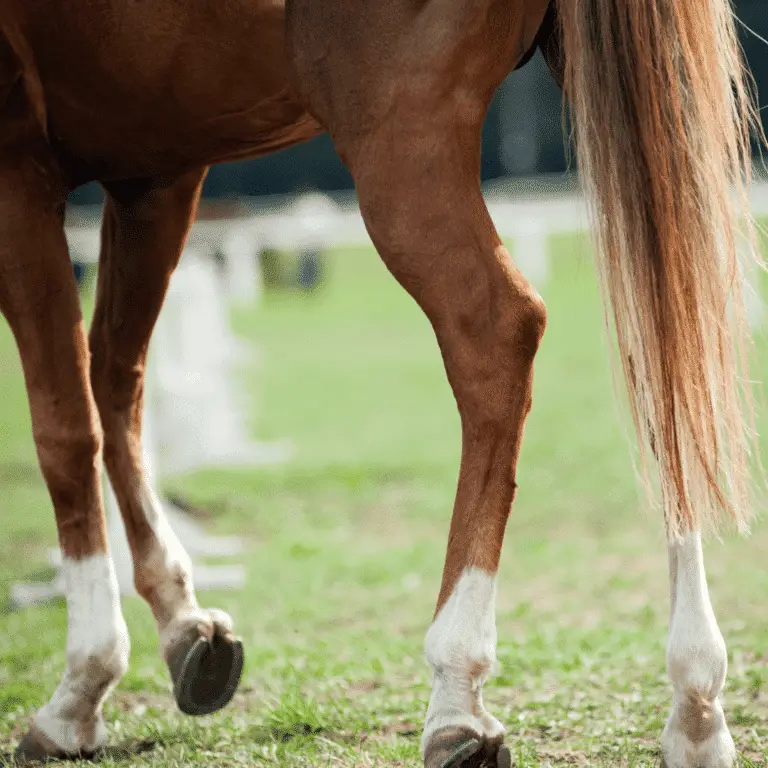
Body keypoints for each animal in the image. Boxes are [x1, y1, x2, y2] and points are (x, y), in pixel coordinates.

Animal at [3, 0, 760, 764]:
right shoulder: (156, 170)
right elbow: (114, 386)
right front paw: (183, 624)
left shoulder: (28, 172)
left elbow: (66, 427)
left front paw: (81, 687)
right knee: (662, 333)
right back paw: (696, 701)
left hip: (402, 140)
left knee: (496, 333)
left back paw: (456, 689)